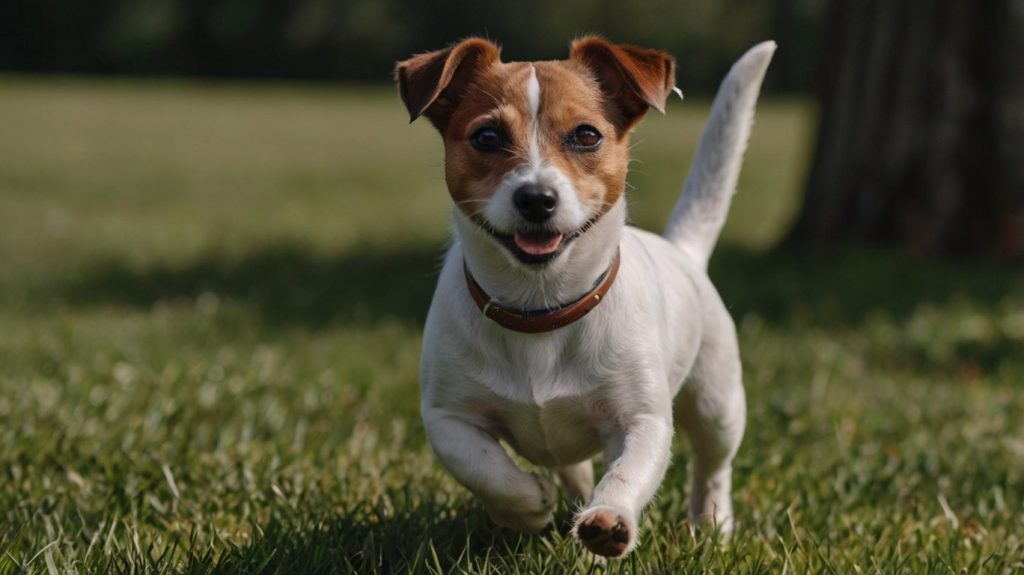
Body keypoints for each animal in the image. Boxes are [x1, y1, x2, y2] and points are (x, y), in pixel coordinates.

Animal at [395, 36, 770, 556]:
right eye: (487, 137)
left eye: (587, 135)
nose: (536, 198)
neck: (541, 309)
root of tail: (682, 251)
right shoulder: (448, 418)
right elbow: (483, 469)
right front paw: (528, 503)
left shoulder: (642, 421)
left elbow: (627, 473)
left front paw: (608, 519)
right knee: (570, 467)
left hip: (718, 403)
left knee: (713, 466)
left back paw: (713, 523)